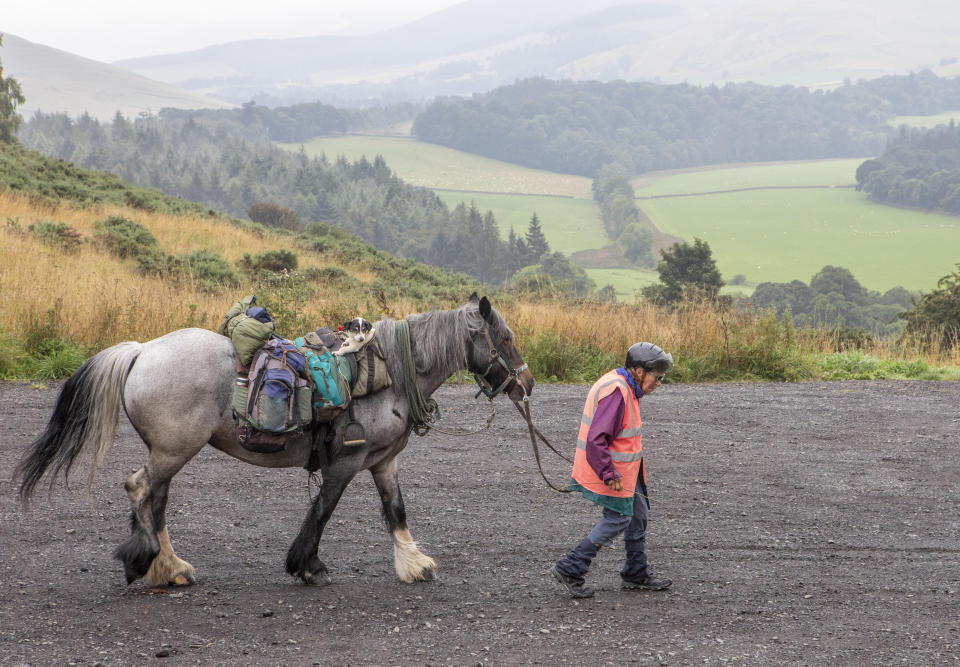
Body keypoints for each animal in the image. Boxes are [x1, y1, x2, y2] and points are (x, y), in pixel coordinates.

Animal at [15, 294, 532, 588]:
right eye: (505, 338)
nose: (527, 384)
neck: (388, 374)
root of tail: (142, 351)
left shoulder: (384, 462)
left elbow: (396, 511)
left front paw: (414, 564)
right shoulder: (347, 462)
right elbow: (322, 510)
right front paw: (307, 565)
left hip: (169, 452)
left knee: (153, 498)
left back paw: (170, 567)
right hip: (174, 450)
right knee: (141, 490)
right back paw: (147, 561)